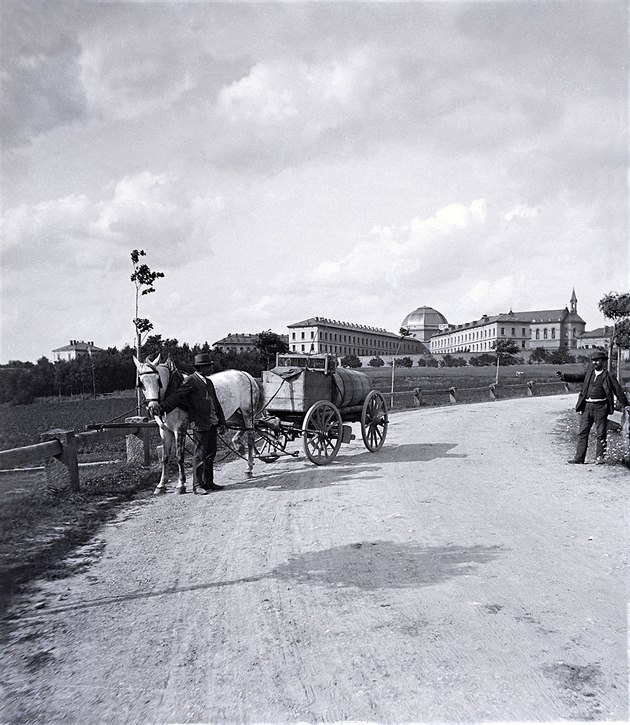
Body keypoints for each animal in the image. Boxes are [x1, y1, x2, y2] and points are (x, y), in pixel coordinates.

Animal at [133, 354, 262, 494]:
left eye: (158, 380)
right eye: (141, 382)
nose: (154, 408)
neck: (172, 392)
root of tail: (246, 375)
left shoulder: (180, 429)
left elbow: (179, 456)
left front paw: (181, 484)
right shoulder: (164, 430)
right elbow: (165, 457)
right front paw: (161, 485)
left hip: (248, 412)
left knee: (250, 436)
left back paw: (249, 467)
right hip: (233, 413)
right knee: (243, 426)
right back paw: (240, 446)